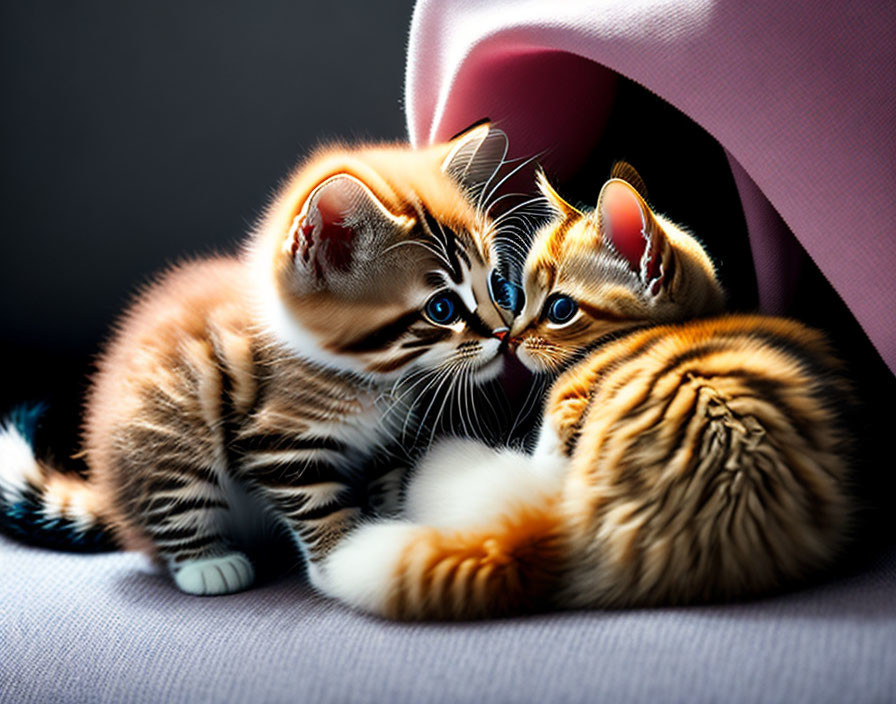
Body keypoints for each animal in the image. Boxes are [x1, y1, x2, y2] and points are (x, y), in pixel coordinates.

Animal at [0, 125, 520, 592]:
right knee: (174, 495)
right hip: (168, 417)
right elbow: (317, 504)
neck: (373, 378)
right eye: (442, 308)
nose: (504, 333)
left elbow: (389, 484)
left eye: (497, 285)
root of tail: (110, 495)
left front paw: (390, 525)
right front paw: (345, 560)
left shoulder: (390, 443)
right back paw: (207, 564)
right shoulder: (278, 440)